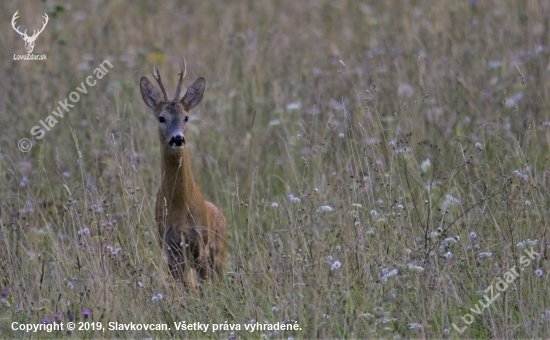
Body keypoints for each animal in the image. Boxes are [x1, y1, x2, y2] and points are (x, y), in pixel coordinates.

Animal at [142, 58, 229, 286]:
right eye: (161, 118)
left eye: (187, 117)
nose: (178, 138)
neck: (180, 207)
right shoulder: (169, 246)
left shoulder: (199, 243)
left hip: (219, 252)